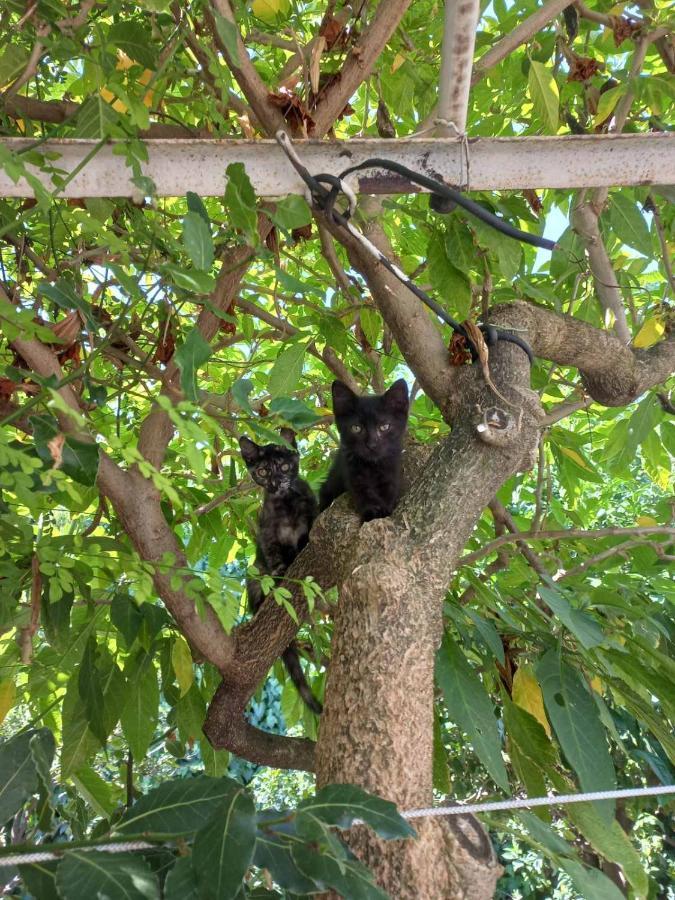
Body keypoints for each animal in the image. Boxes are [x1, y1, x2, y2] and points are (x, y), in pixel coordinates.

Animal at [239, 426, 324, 712]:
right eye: (263, 471)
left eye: (285, 466)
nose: (276, 482)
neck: (286, 503)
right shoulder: (268, 534)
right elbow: (275, 556)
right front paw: (280, 575)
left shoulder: (310, 515)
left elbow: (307, 537)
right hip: (254, 574)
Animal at [320, 378, 410, 520]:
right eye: (356, 428)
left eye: (384, 427)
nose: (372, 444)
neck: (372, 466)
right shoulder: (351, 469)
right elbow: (363, 491)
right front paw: (373, 511)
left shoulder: (392, 467)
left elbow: (389, 488)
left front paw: (386, 508)